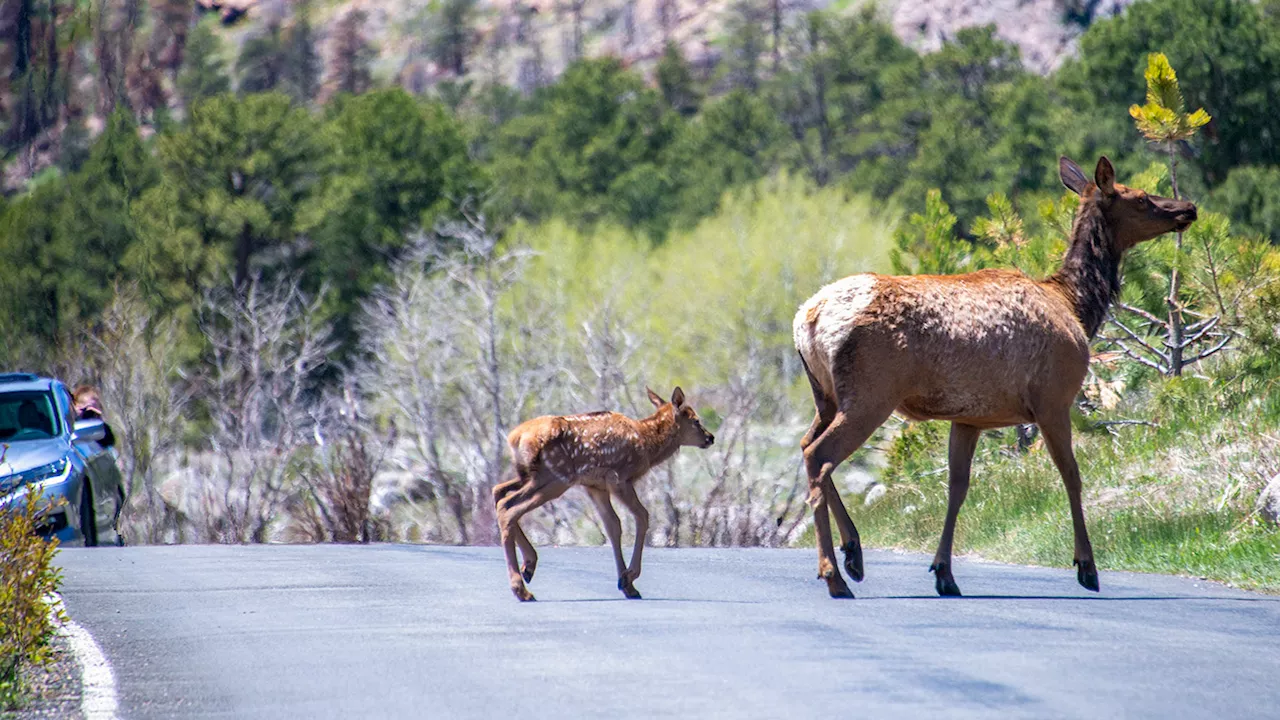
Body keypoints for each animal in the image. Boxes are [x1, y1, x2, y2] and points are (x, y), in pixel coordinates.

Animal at [491, 386, 716, 599]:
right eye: (696, 420)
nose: (710, 437)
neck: (647, 446)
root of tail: (515, 437)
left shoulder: (595, 486)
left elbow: (613, 525)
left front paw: (626, 584)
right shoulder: (619, 478)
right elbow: (642, 516)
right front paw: (629, 576)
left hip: (531, 477)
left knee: (498, 493)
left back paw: (528, 567)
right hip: (556, 477)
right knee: (509, 507)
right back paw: (521, 588)